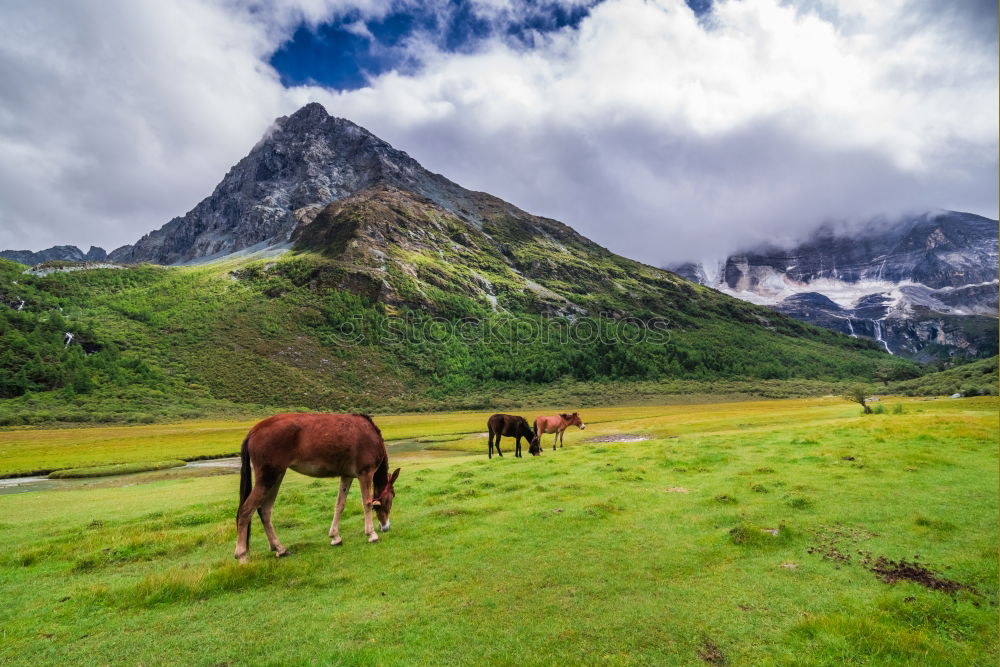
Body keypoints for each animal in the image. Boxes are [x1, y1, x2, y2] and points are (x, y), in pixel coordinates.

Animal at [234, 412, 402, 564]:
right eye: (392, 496)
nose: (386, 527)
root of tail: (253, 431)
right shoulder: (365, 473)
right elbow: (366, 503)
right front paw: (371, 534)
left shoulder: (346, 476)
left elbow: (340, 505)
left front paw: (335, 537)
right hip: (268, 477)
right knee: (245, 511)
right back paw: (242, 555)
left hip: (277, 476)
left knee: (265, 510)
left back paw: (280, 549)